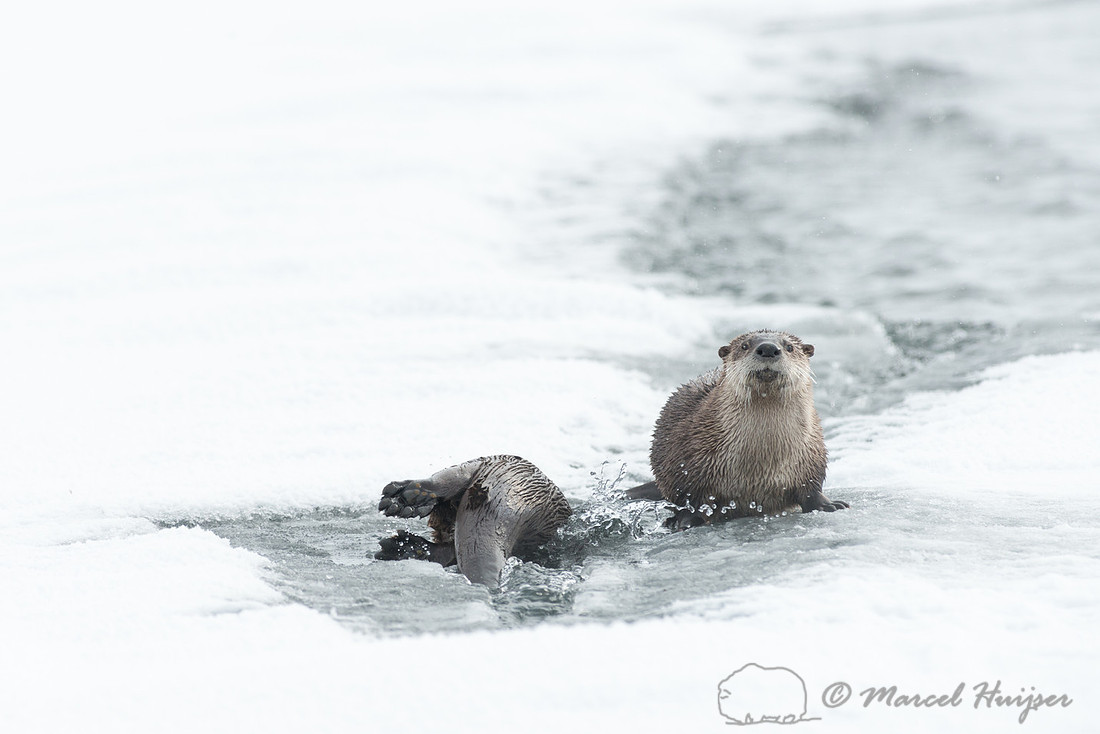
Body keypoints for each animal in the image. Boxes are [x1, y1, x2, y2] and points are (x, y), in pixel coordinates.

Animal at [627, 330, 847, 528]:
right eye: (744, 345)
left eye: (789, 347)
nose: (768, 348)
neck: (761, 456)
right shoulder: (689, 466)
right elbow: (691, 500)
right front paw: (685, 520)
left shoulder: (811, 454)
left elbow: (811, 489)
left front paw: (828, 505)